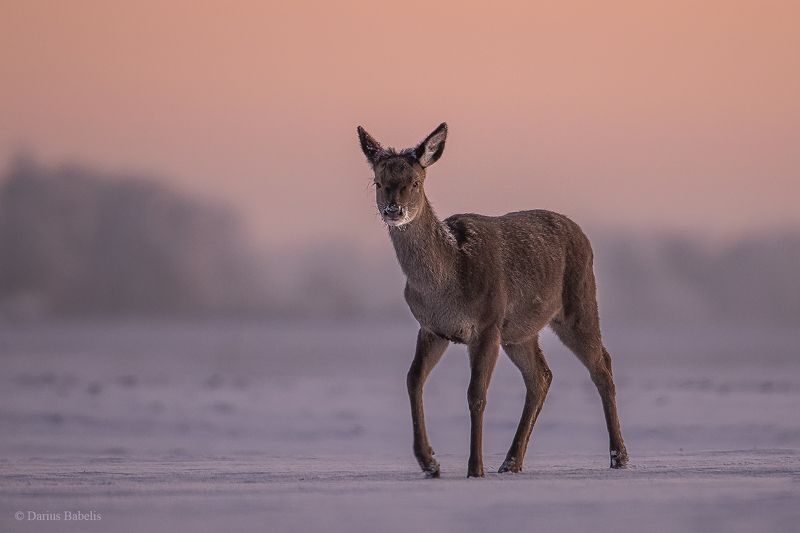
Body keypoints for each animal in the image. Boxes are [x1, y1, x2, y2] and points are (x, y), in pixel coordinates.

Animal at [356, 122, 628, 478]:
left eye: (415, 181)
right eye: (378, 181)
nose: (393, 210)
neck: (445, 285)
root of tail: (583, 235)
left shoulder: (487, 323)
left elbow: (476, 394)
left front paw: (475, 468)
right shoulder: (432, 328)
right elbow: (413, 379)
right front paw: (429, 462)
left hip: (579, 302)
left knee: (602, 366)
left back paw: (618, 456)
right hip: (519, 331)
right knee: (541, 376)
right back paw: (511, 461)